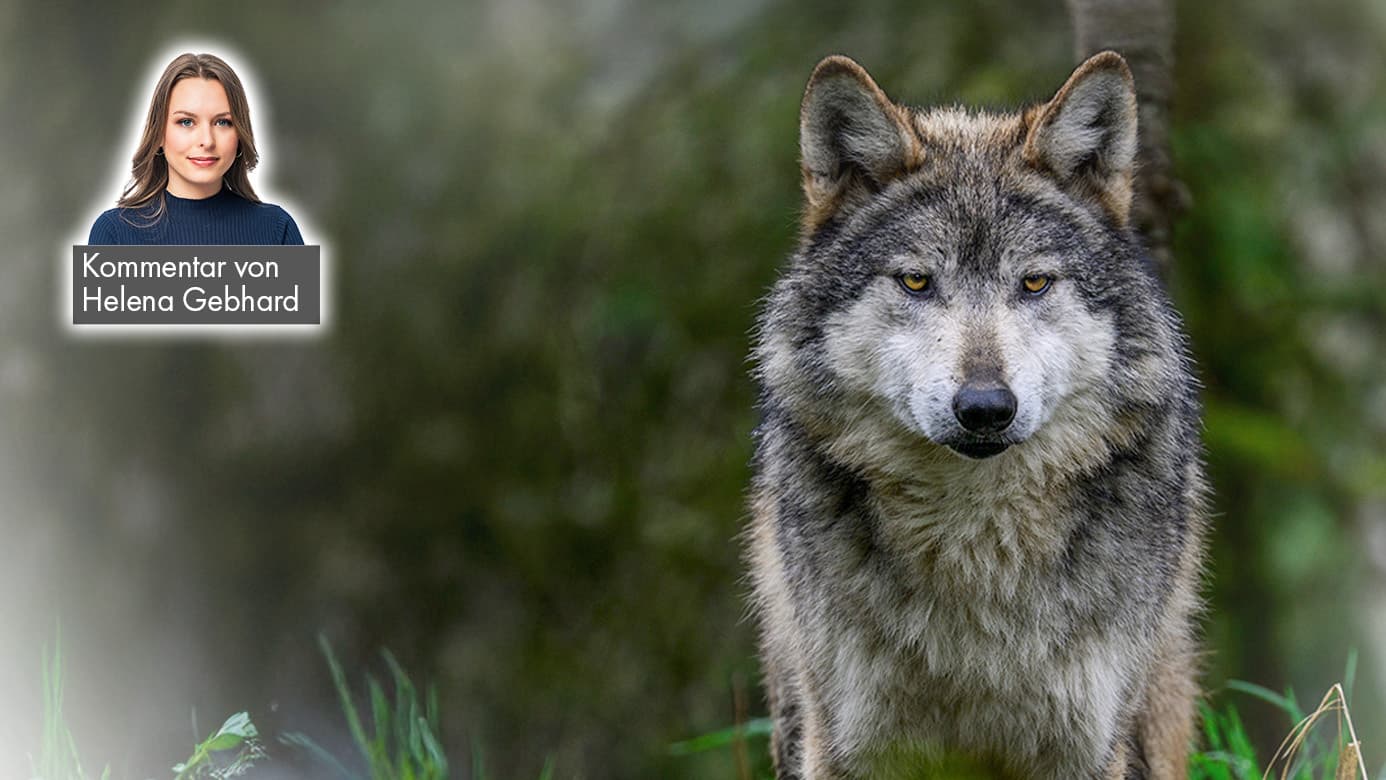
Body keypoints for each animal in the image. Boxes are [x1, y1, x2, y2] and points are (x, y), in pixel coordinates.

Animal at [746, 51, 1207, 779]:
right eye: (916, 281)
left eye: (1034, 282)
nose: (986, 408)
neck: (976, 546)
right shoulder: (850, 745)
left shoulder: (1086, 747)